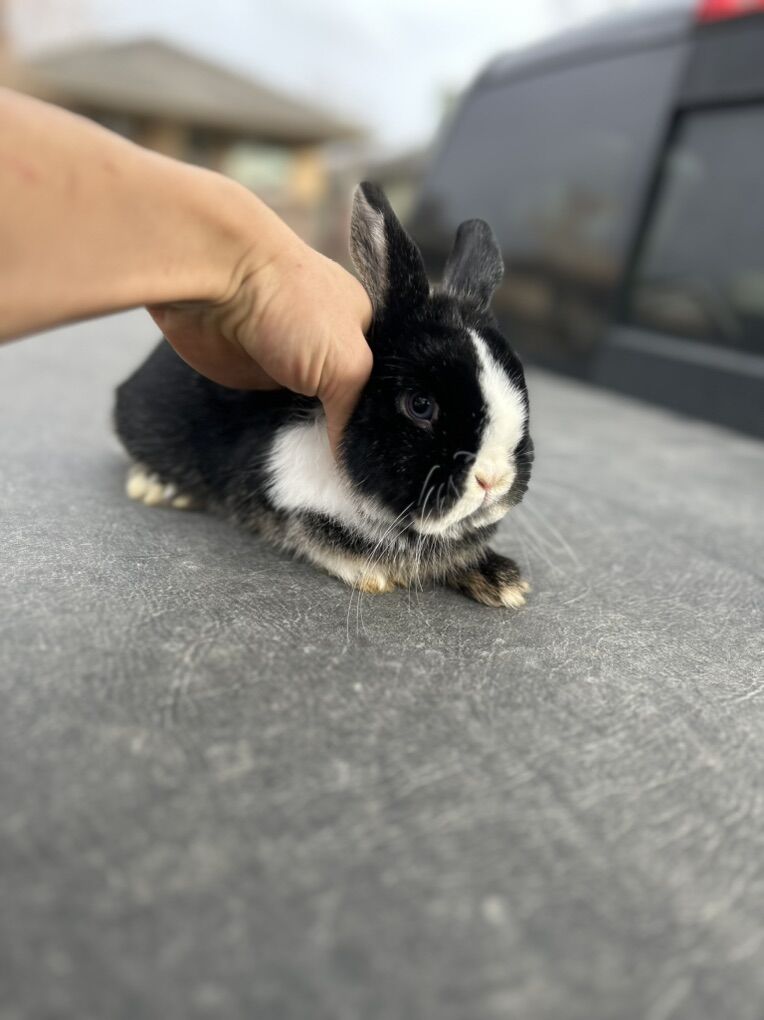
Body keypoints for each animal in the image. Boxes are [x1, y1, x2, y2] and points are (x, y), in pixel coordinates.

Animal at [114, 182, 534, 607]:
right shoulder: (287, 491)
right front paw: (374, 574)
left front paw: (504, 582)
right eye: (420, 405)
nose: (493, 480)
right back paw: (156, 486)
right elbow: (319, 534)